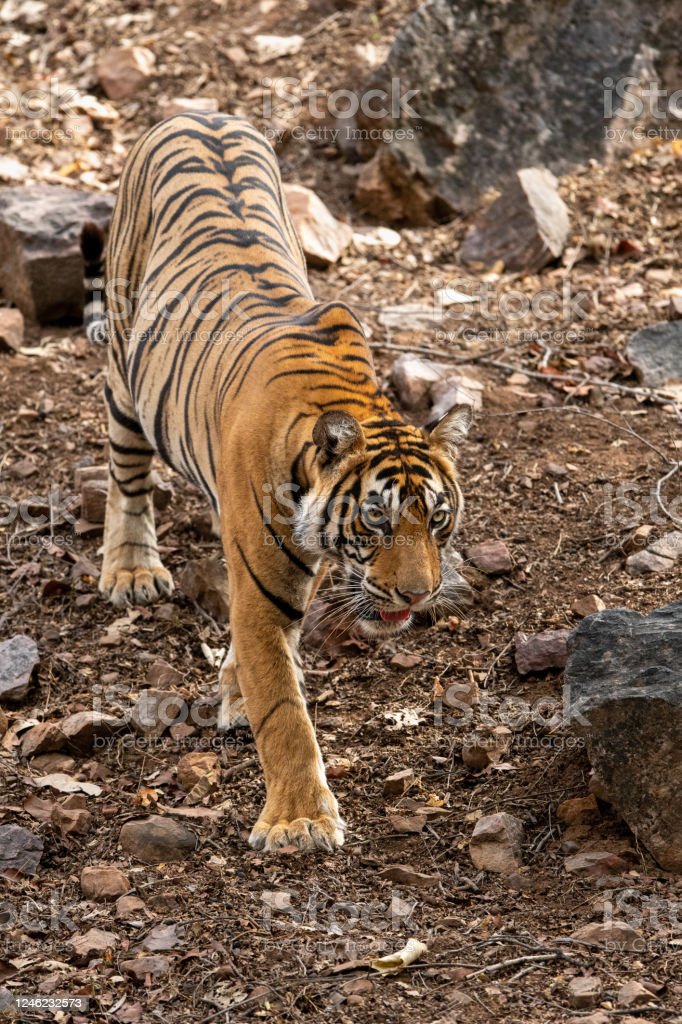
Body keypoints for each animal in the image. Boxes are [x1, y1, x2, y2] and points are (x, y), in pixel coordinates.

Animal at [94, 114, 466, 856]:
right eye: (377, 520)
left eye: (437, 519)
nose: (419, 595)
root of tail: (197, 109)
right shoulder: (265, 590)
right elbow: (284, 709)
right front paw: (299, 821)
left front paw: (235, 690)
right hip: (126, 376)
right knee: (127, 477)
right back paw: (131, 570)